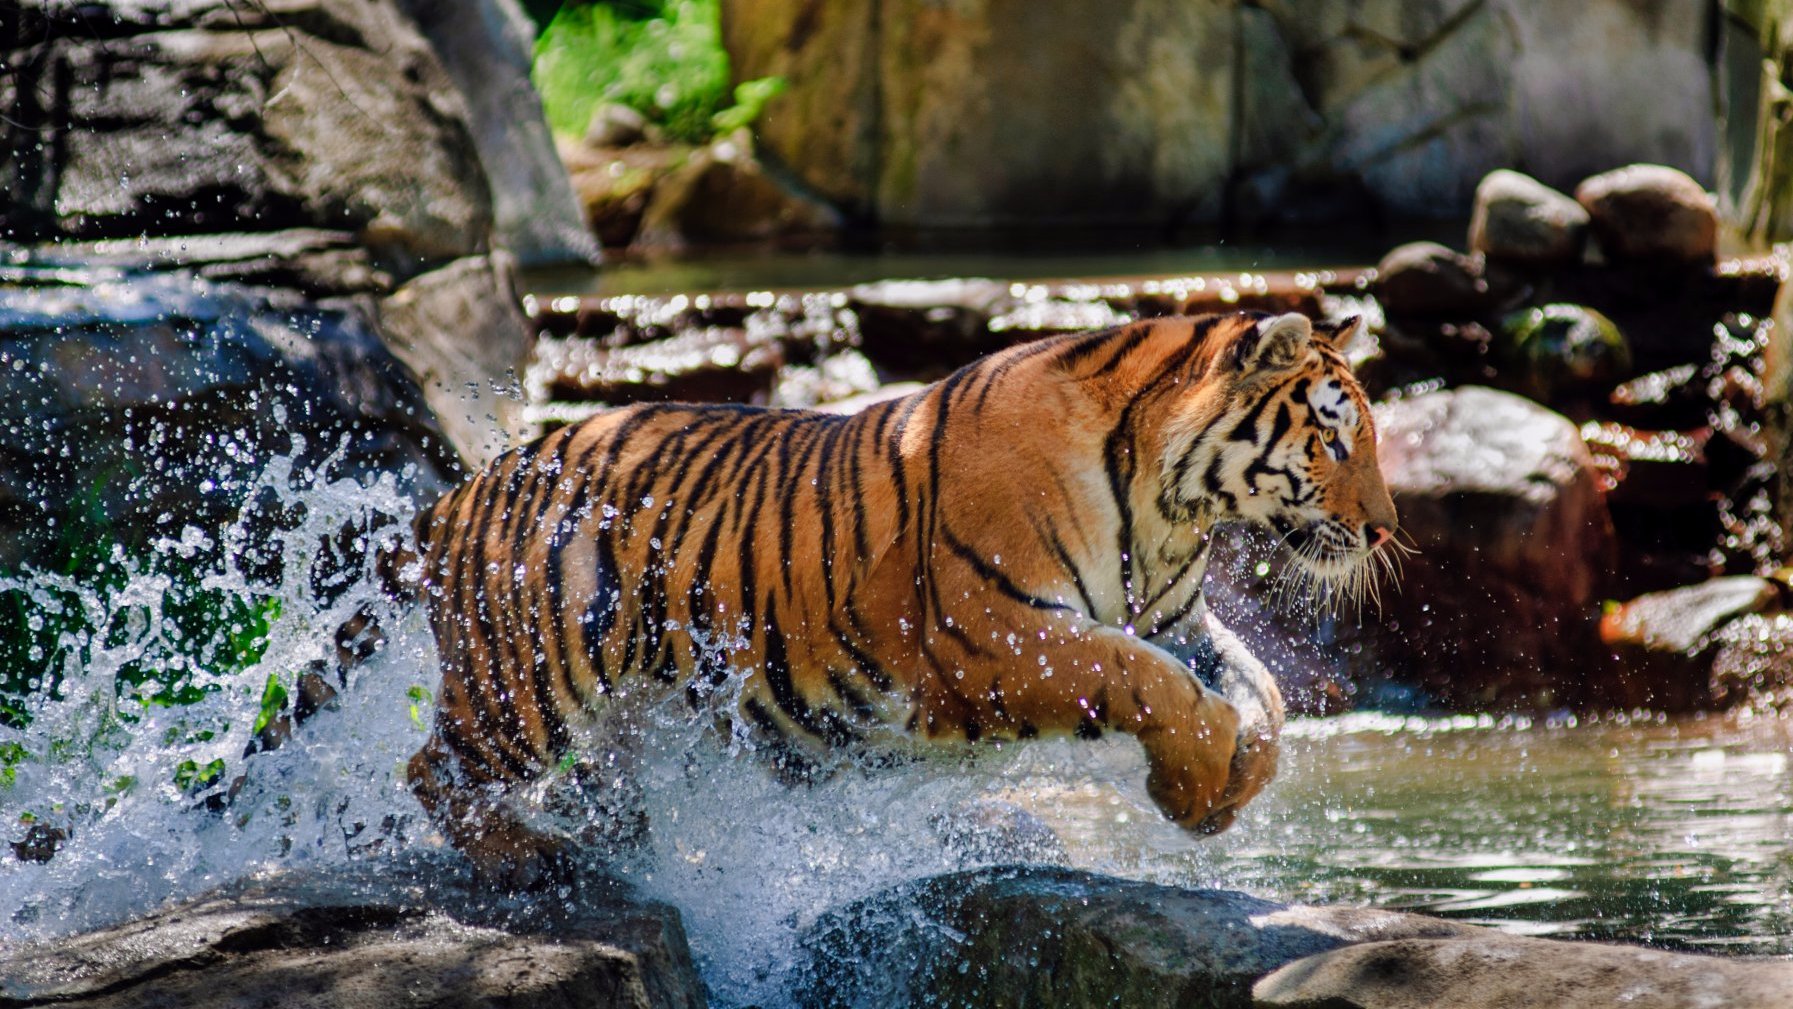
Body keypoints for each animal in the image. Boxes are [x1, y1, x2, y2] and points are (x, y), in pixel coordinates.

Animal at [396, 311, 1398, 881]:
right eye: (1332, 440)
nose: (1386, 529)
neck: (1166, 507)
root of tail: (462, 492)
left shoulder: (1179, 621)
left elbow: (1255, 690)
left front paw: (1227, 788)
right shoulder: (991, 632)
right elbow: (1150, 682)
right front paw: (1190, 786)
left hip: (627, 704)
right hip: (527, 680)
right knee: (430, 768)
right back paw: (524, 858)